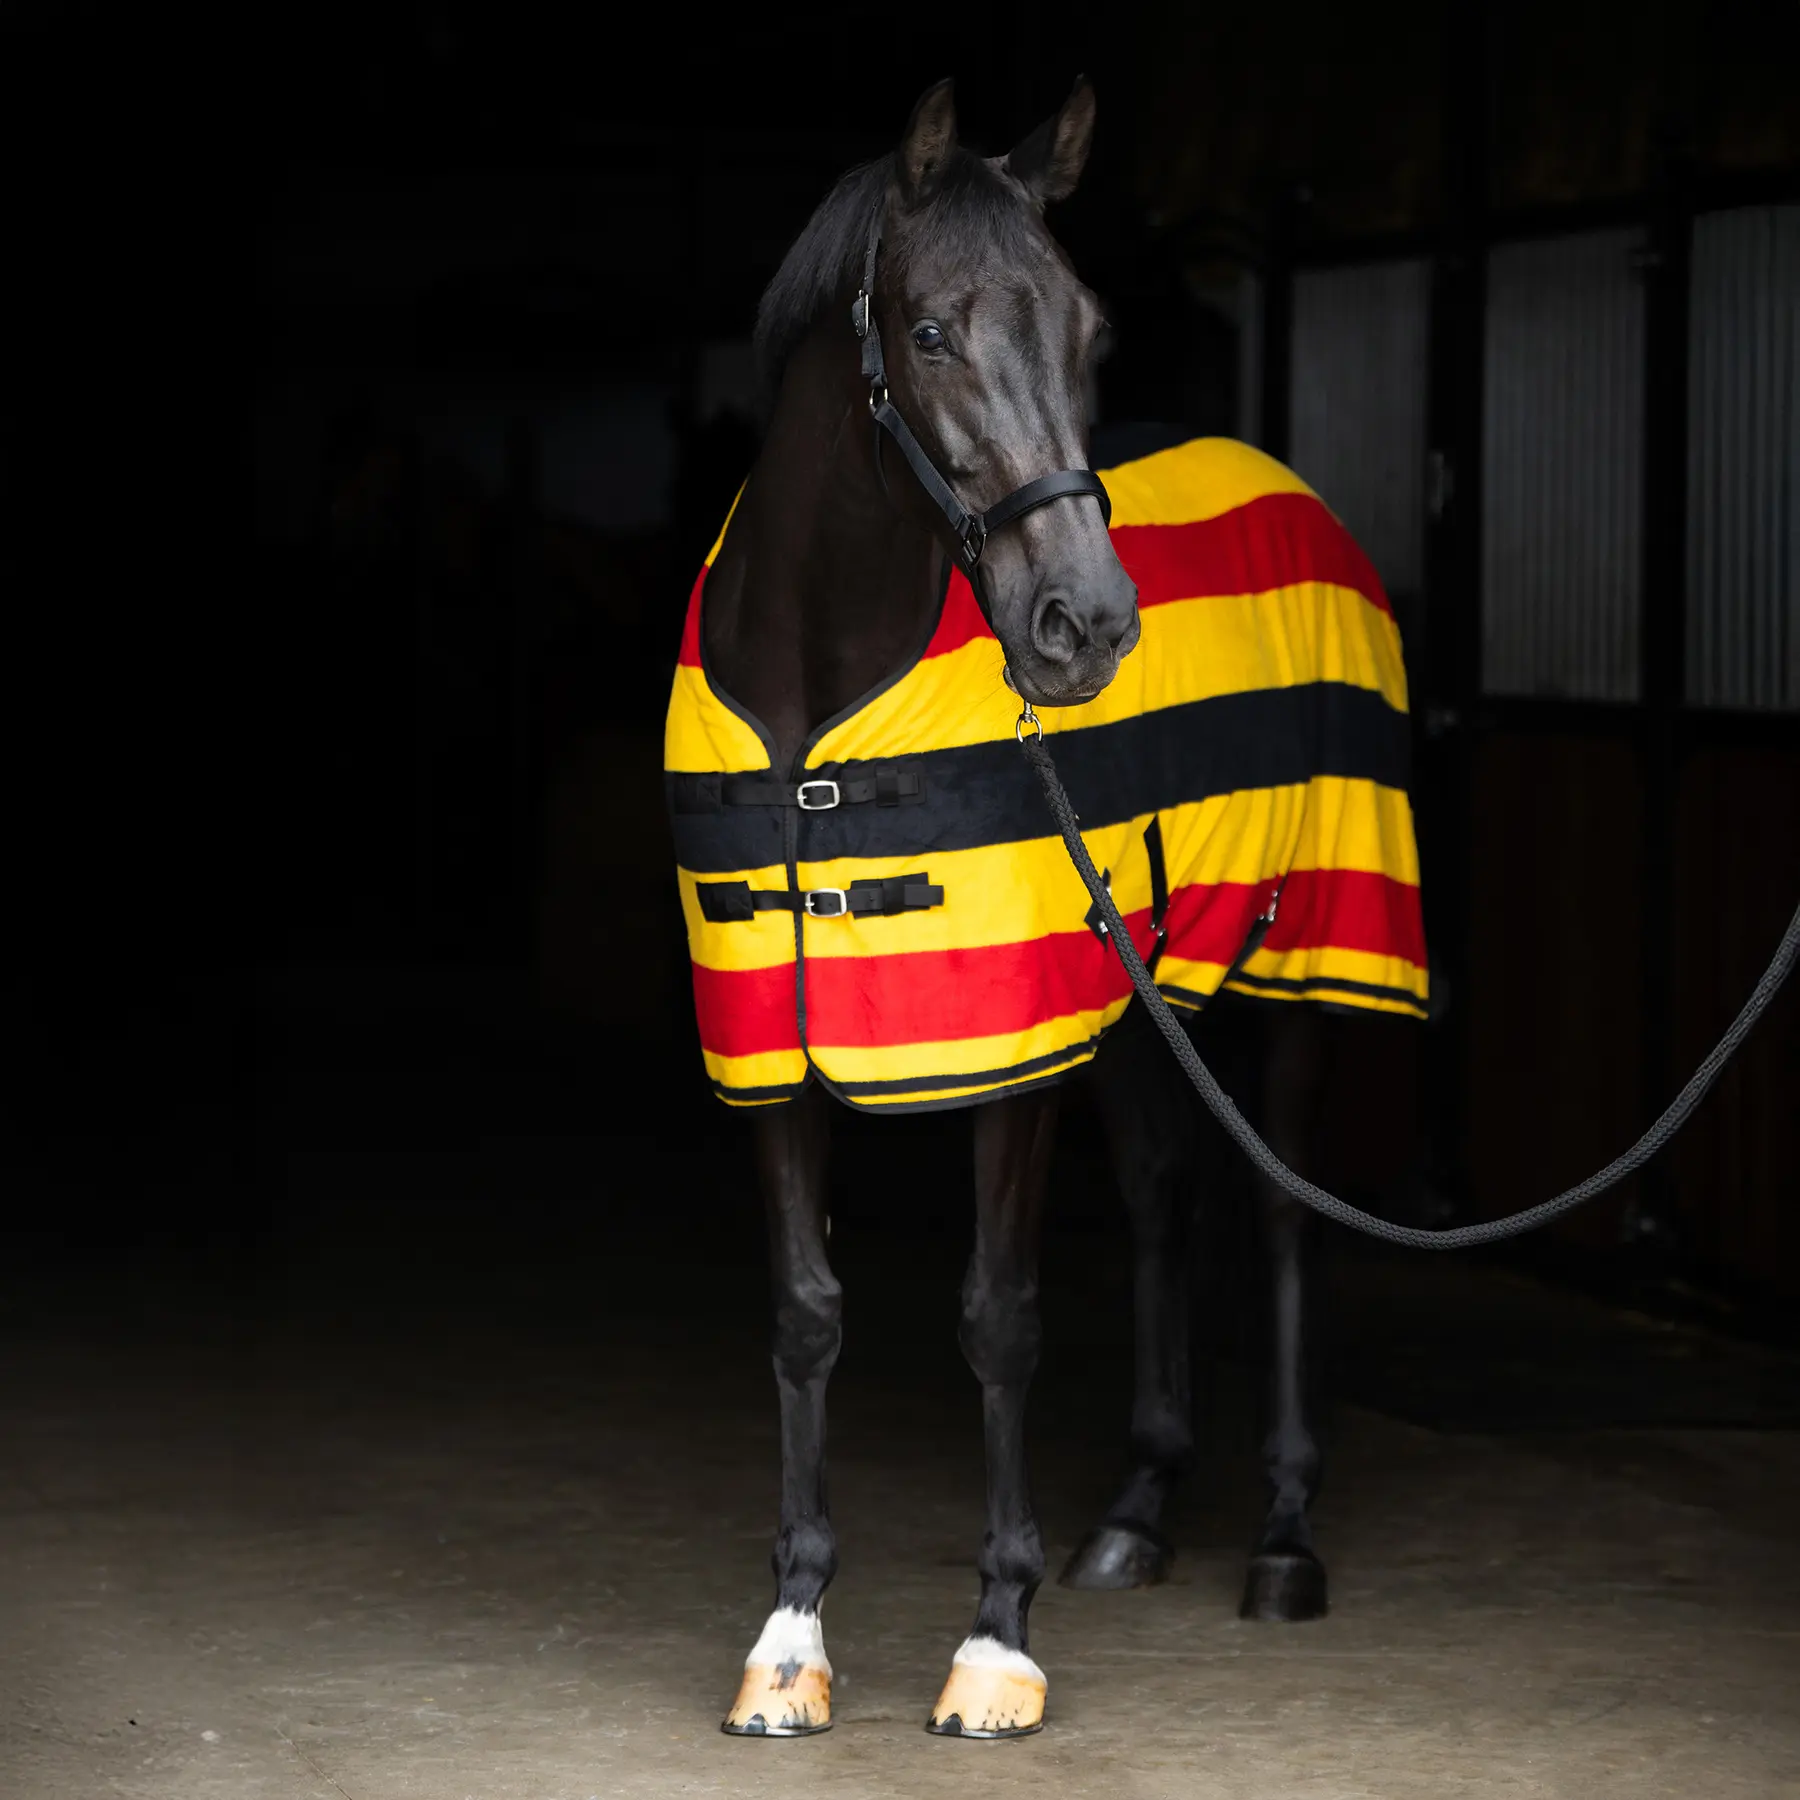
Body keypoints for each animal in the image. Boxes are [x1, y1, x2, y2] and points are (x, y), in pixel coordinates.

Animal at [665, 76, 1426, 1738]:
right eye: (930, 330)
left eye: (1089, 330)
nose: (1085, 629)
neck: (821, 699)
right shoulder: (770, 1047)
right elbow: (806, 1310)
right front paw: (790, 1635)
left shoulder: (1008, 1048)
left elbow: (998, 1316)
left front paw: (994, 1643)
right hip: (1144, 1002)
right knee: (1160, 1196)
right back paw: (1138, 1512)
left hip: (1305, 968)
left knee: (1282, 1210)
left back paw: (1282, 1537)